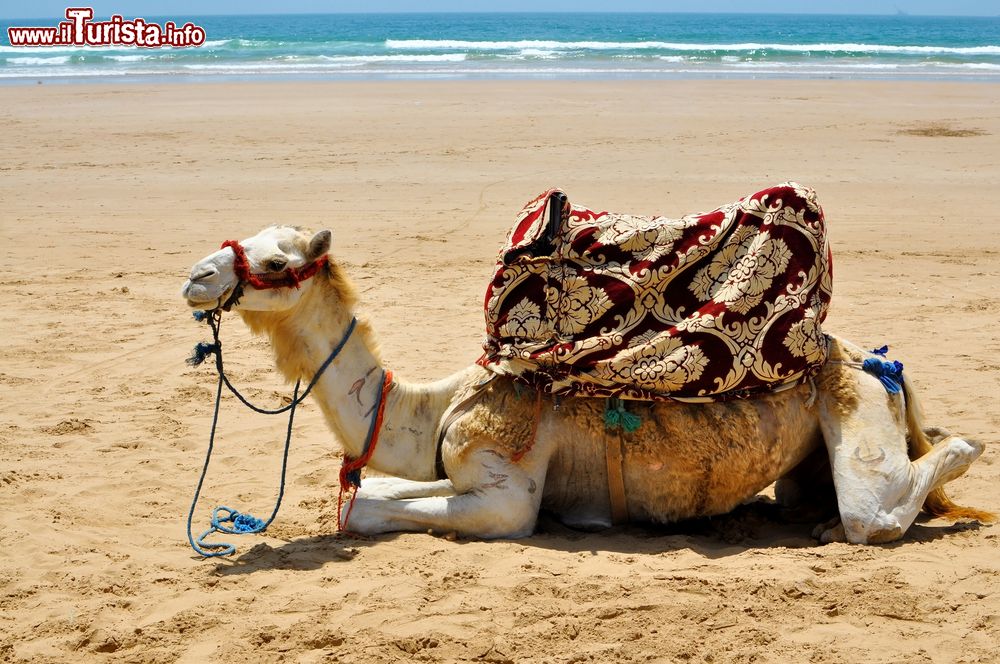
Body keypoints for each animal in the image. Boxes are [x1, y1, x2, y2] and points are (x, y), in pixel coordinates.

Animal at [182, 224, 992, 544]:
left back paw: (953, 456)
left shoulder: (507, 494)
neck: (434, 406)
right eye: (246, 236)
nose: (196, 276)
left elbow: (363, 509)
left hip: (858, 407)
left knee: (877, 507)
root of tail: (878, 360)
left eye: (278, 262)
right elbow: (372, 491)